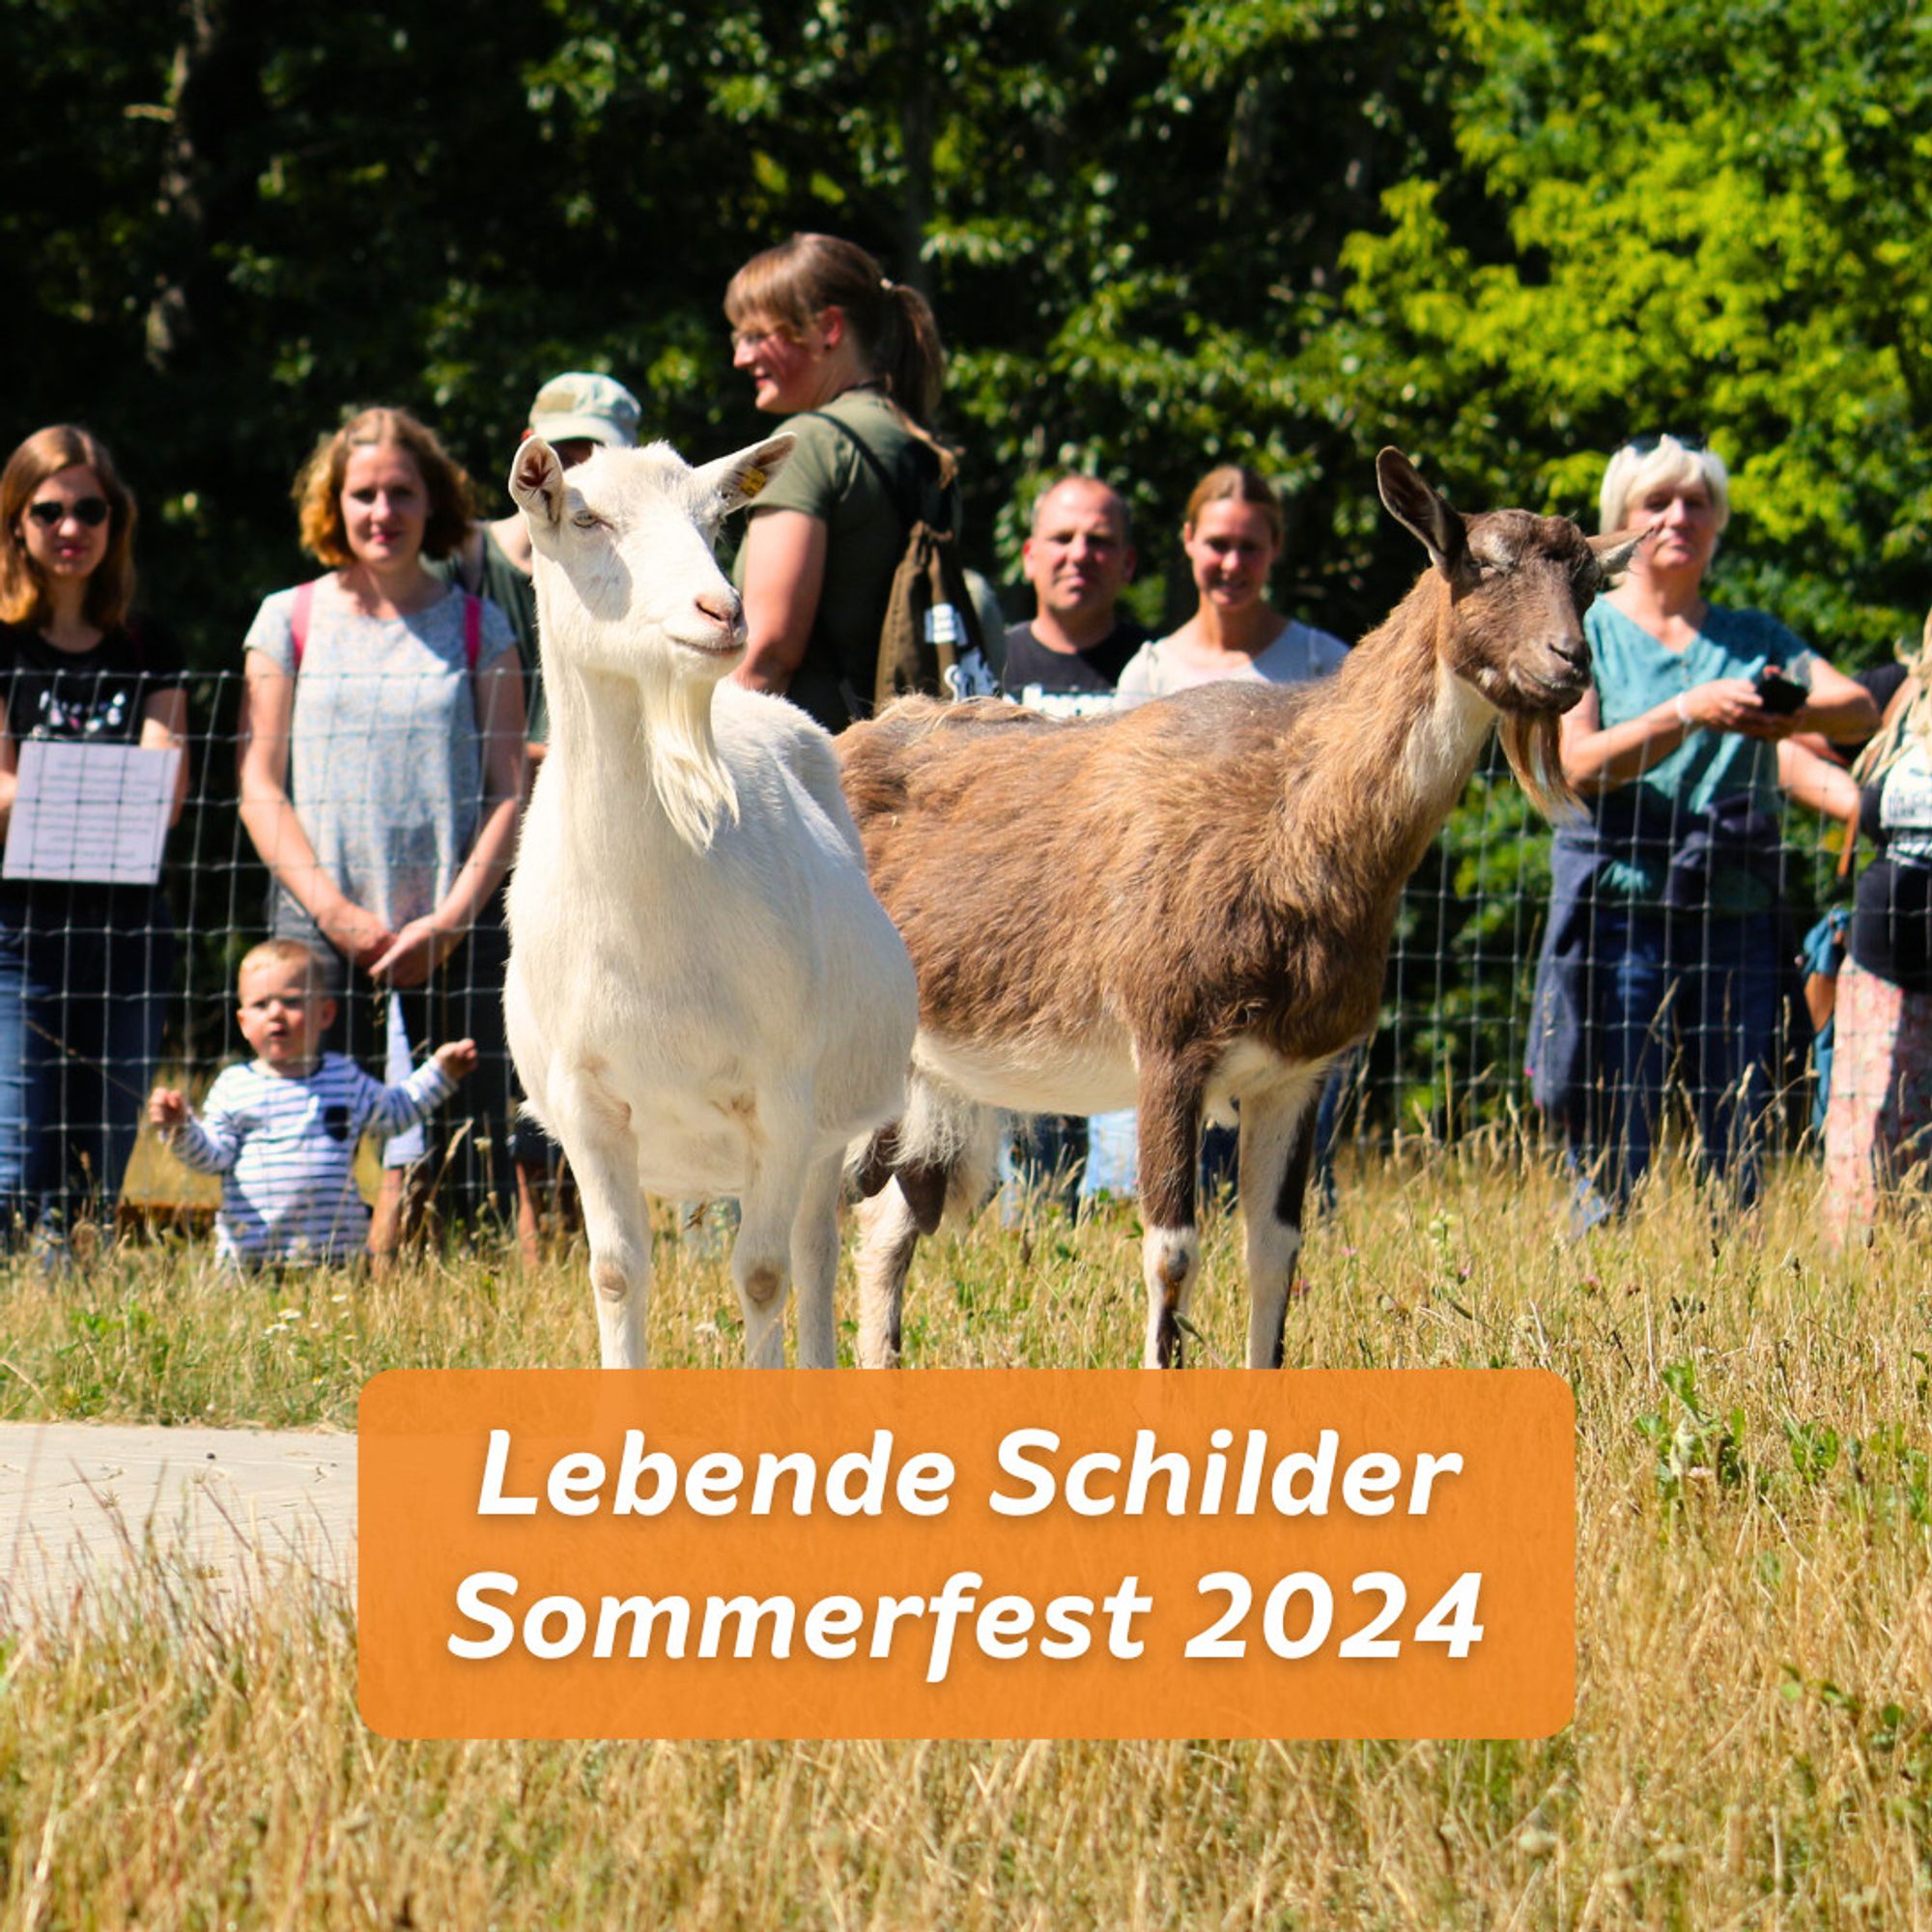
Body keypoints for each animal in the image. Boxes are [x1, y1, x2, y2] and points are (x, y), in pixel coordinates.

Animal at [502, 439, 916, 1376]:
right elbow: (616, 1273)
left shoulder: (782, 1095)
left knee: (814, 1254)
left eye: (714, 518)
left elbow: (762, 1276)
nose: (723, 611)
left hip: (826, 1122)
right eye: (585, 516)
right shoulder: (585, 1101)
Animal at [838, 444, 1654, 1368]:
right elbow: (1171, 1255)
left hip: (928, 1076)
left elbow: (1276, 1252)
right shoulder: (1168, 1045)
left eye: (1590, 583)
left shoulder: (1297, 1075)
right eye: (1480, 562)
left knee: (888, 1224)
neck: (1292, 821)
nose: (1567, 663)